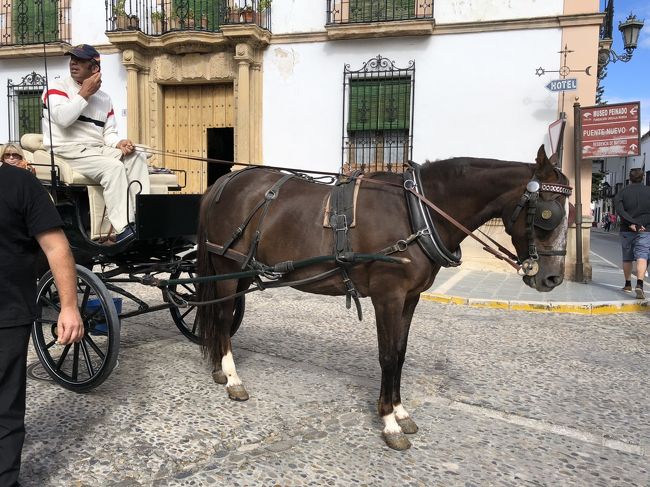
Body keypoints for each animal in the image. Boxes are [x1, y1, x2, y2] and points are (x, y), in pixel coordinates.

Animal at [195, 145, 568, 450]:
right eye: (548, 215)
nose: (553, 278)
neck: (416, 213)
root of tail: (224, 182)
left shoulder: (410, 298)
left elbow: (400, 354)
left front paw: (401, 412)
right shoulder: (388, 296)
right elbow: (387, 356)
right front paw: (389, 423)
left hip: (241, 270)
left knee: (218, 317)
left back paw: (219, 370)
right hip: (227, 267)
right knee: (223, 317)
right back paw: (232, 378)